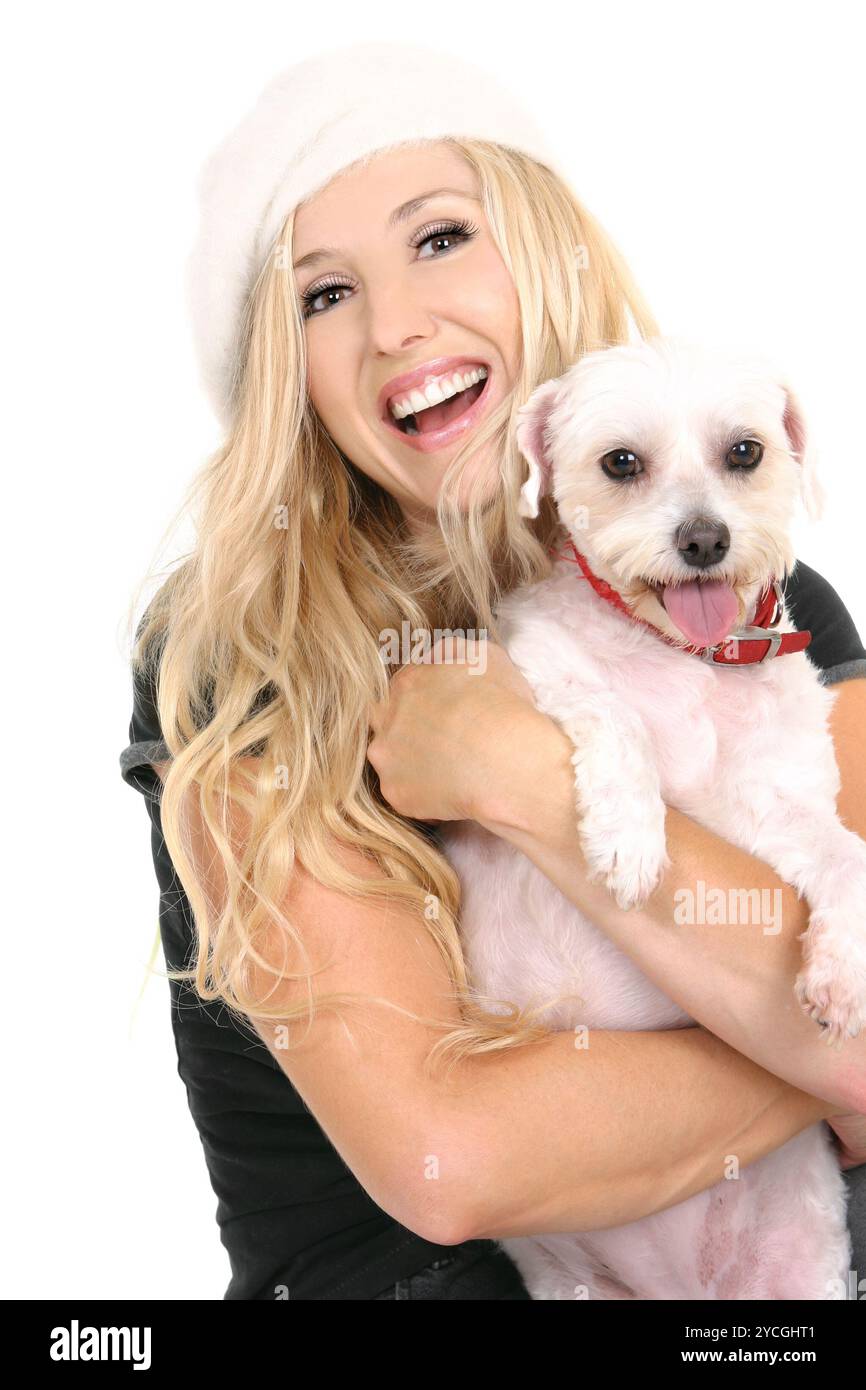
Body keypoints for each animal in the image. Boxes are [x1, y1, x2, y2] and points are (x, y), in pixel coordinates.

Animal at [439, 336, 866, 1301]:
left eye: (745, 451)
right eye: (621, 463)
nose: (704, 541)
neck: (689, 661)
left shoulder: (769, 811)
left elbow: (847, 856)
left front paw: (840, 973)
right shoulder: (534, 670)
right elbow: (612, 711)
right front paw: (629, 837)